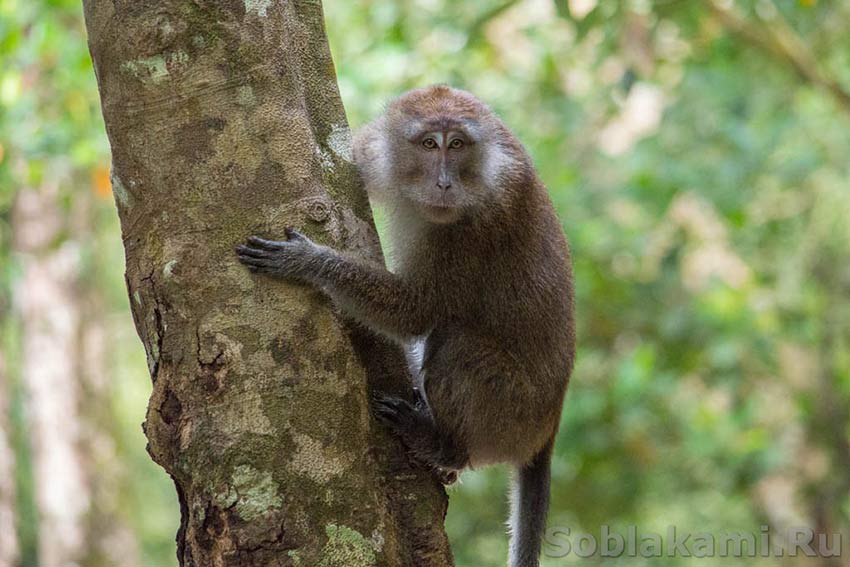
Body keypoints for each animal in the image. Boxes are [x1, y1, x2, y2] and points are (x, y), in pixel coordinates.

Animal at [235, 84, 572, 567]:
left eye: (458, 145)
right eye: (430, 144)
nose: (444, 183)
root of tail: (547, 432)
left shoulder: (469, 230)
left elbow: (416, 313)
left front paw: (307, 261)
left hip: (513, 413)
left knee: (455, 343)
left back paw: (444, 446)